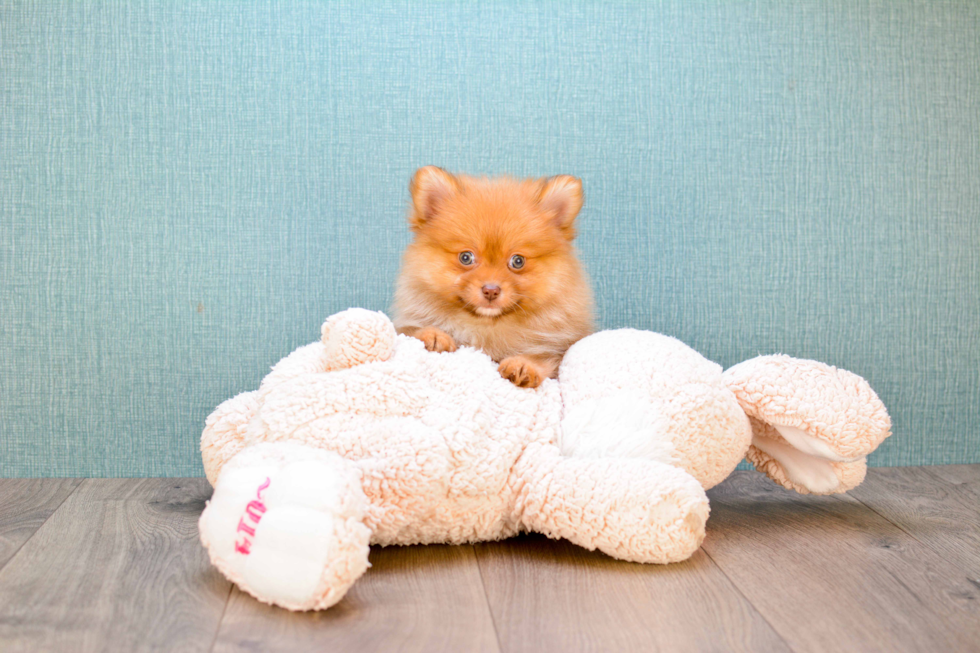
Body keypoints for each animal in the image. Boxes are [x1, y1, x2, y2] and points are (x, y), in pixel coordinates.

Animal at [392, 166, 592, 388]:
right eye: (466, 257)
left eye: (518, 261)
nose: (491, 290)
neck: (486, 327)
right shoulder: (404, 326)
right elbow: (410, 330)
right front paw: (433, 335)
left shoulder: (555, 348)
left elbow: (542, 358)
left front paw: (523, 366)